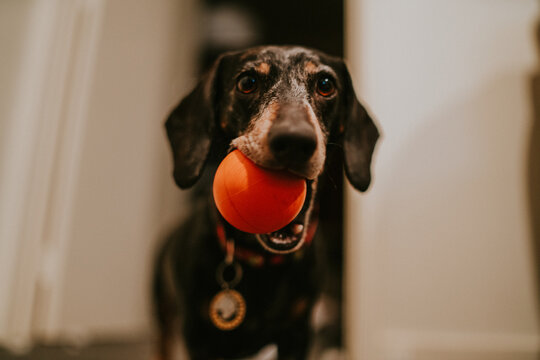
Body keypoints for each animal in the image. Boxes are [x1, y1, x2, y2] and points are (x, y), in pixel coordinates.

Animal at [153, 45, 380, 360]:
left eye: (326, 85)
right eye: (247, 82)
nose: (295, 140)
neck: (261, 263)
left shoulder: (298, 332)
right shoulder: (197, 336)